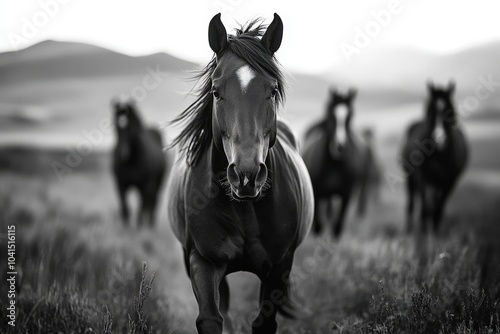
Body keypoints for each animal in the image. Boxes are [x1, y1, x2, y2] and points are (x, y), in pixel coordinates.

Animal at [111, 98, 166, 226]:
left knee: (153, 204)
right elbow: (125, 209)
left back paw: (150, 225)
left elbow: (141, 209)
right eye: (116, 127)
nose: (123, 154)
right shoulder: (120, 184)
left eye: (131, 127)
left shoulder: (145, 185)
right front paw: (126, 229)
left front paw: (139, 228)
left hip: (157, 183)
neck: (131, 161)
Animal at [168, 13, 314, 334]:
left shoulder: (279, 267)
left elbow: (264, 322)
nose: (246, 175)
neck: (245, 209)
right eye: (216, 91)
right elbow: (211, 318)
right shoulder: (203, 260)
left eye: (272, 90)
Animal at [300, 89, 372, 237]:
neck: (334, 165)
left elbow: (337, 227)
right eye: (331, 115)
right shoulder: (317, 193)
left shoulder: (346, 195)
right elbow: (318, 227)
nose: (340, 146)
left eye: (350, 115)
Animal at [402, 80, 468, 232]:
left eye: (450, 111)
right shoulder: (422, 178)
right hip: (411, 178)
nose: (440, 139)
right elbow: (425, 210)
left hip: (437, 184)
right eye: (430, 111)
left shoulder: (449, 182)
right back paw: (409, 230)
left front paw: (435, 234)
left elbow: (438, 211)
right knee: (411, 205)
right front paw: (423, 234)